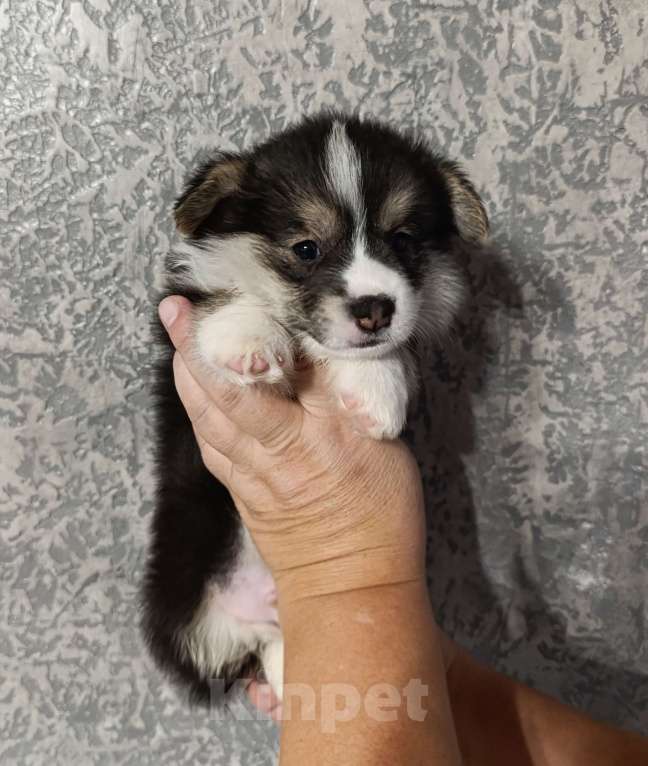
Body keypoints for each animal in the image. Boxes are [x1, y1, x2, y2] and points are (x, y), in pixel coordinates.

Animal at [140, 114, 486, 708]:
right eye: (306, 248)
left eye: (403, 240)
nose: (375, 309)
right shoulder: (186, 301)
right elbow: (228, 297)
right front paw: (250, 338)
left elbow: (382, 352)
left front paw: (377, 386)